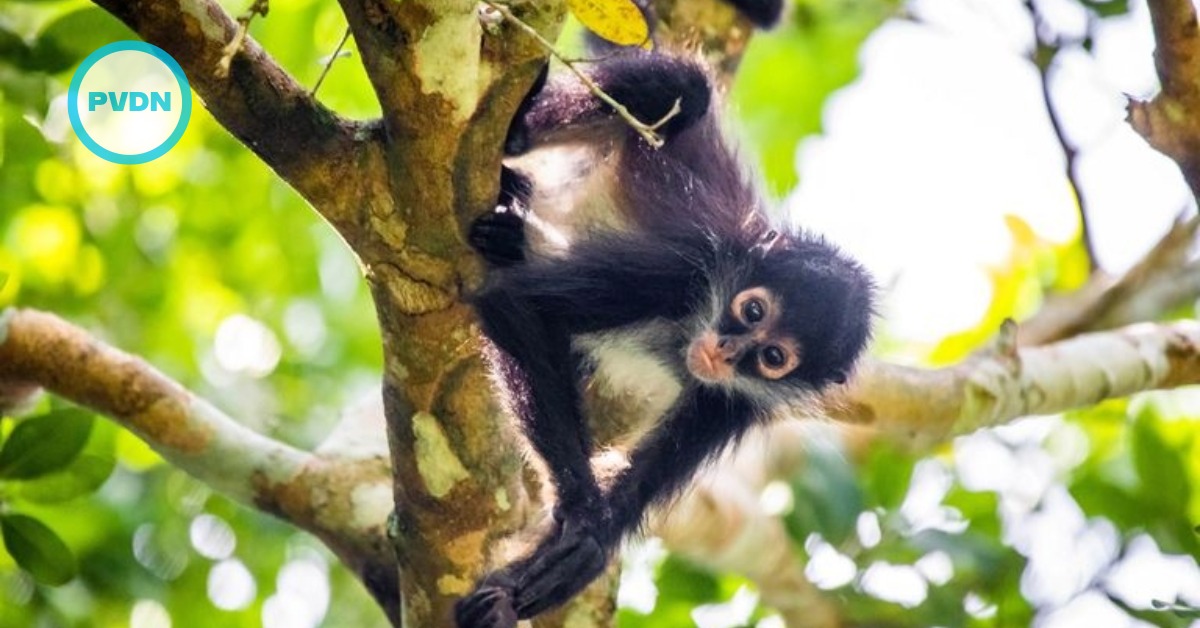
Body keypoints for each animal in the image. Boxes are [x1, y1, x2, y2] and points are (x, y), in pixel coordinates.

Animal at [456, 2, 875, 626]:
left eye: (773, 357)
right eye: (752, 310)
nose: (725, 351)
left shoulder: (734, 403)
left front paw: (571, 557)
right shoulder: (681, 270)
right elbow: (520, 305)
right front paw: (581, 511)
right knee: (687, 88)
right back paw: (517, 141)